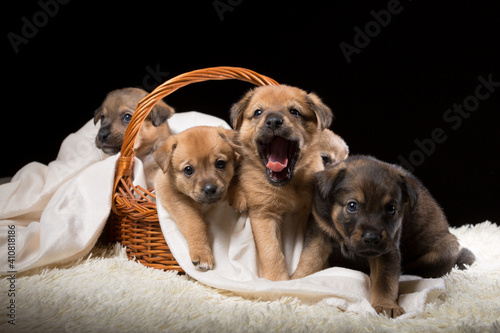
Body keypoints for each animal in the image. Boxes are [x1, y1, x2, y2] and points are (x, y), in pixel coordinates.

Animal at [154, 126, 238, 272]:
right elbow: (195, 224)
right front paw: (202, 254)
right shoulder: (176, 199)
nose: (210, 189)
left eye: (220, 163)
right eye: (188, 170)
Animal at [229, 83, 332, 280]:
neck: (289, 186)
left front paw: (302, 279)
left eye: (294, 112)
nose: (274, 121)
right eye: (258, 112)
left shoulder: (317, 219)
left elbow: (312, 255)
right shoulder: (264, 214)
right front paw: (277, 280)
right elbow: (272, 252)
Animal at [292, 155, 476, 316]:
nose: (372, 238)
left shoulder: (387, 249)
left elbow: (385, 281)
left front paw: (386, 306)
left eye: (391, 208)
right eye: (352, 205)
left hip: (446, 248)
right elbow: (310, 257)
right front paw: (296, 280)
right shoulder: (319, 228)